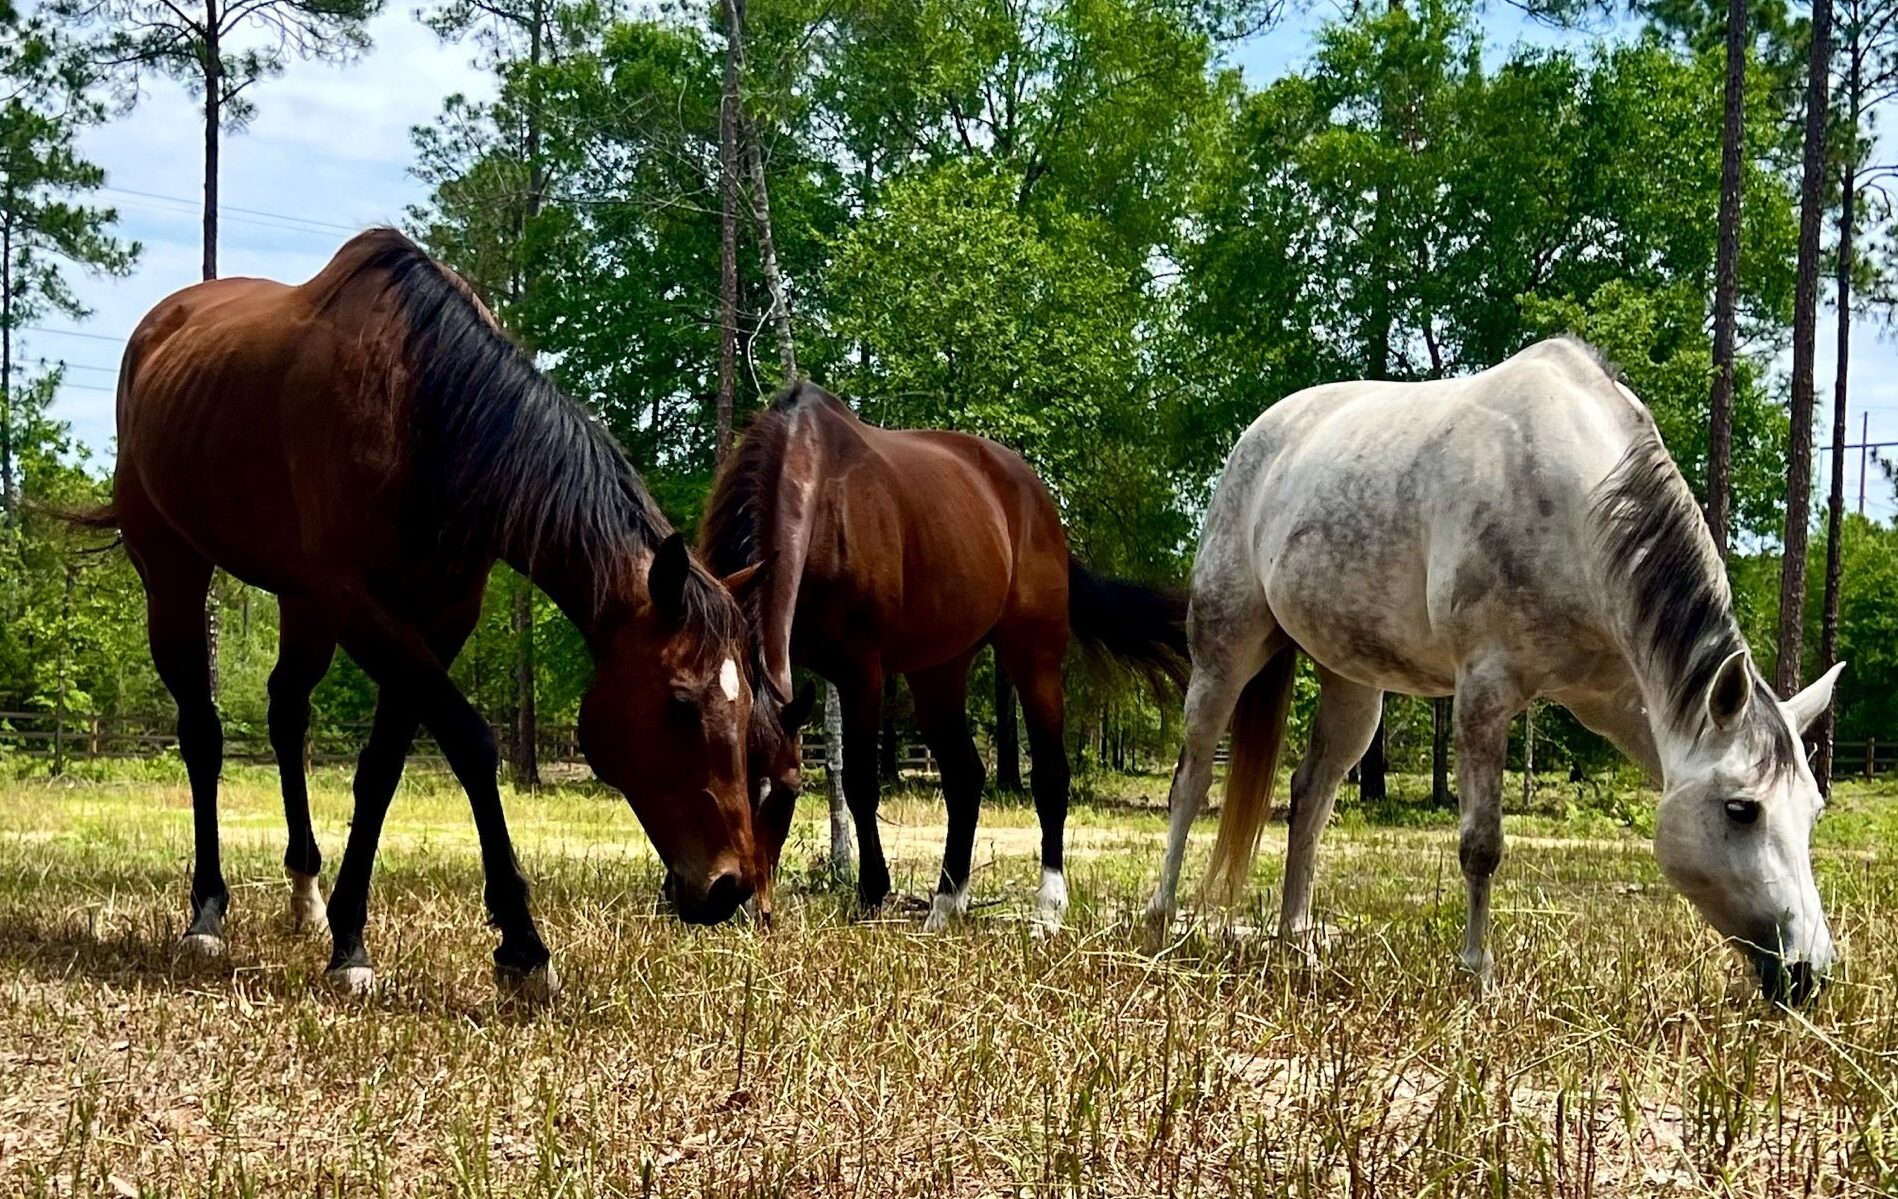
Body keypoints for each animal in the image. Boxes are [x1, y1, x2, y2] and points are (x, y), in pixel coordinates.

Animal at [81, 229, 762, 994]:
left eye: (745, 707)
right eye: (680, 703)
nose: (730, 886)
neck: (426, 413)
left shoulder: (438, 617)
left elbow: (381, 769)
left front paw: (348, 936)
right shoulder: (365, 611)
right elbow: (471, 744)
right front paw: (522, 944)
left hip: (300, 602)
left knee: (286, 713)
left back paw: (303, 895)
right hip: (173, 573)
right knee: (202, 733)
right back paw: (206, 915)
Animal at [698, 383, 1184, 925]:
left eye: (788, 789)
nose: (741, 899)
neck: (823, 493)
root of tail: (1035, 496)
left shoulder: (861, 669)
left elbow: (860, 781)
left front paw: (871, 892)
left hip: (1033, 653)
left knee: (1050, 776)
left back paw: (1048, 907)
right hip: (938, 671)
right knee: (965, 777)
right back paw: (945, 904)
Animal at [1138, 337, 1837, 1001]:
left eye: (1812, 811)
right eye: (1741, 810)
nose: (1809, 974)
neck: (1572, 502)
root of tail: (1262, 436)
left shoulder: (1618, 698)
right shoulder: (1484, 690)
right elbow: (1481, 846)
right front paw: (1478, 976)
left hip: (1354, 682)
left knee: (1310, 796)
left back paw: (1295, 945)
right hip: (1225, 653)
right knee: (1191, 781)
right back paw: (1159, 925)